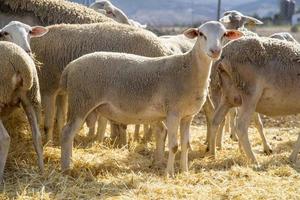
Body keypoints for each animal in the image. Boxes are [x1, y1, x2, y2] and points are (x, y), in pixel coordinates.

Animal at [29, 22, 172, 144]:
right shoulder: (60, 92)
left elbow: (48, 122)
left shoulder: (48, 88)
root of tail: (164, 49)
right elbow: (60, 117)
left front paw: (48, 143)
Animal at [58, 21, 244, 176]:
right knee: (67, 132)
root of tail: (70, 66)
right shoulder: (173, 112)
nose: (215, 51)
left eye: (224, 34)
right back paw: (67, 167)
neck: (188, 69)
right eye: (201, 34)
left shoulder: (187, 116)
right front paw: (169, 174)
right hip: (81, 101)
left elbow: (185, 145)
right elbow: (174, 146)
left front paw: (184, 172)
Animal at [207, 36, 300, 165]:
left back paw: (212, 154)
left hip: (228, 96)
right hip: (250, 94)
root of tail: (224, 54)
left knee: (216, 120)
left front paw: (292, 158)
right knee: (240, 126)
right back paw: (254, 161)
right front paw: (292, 158)